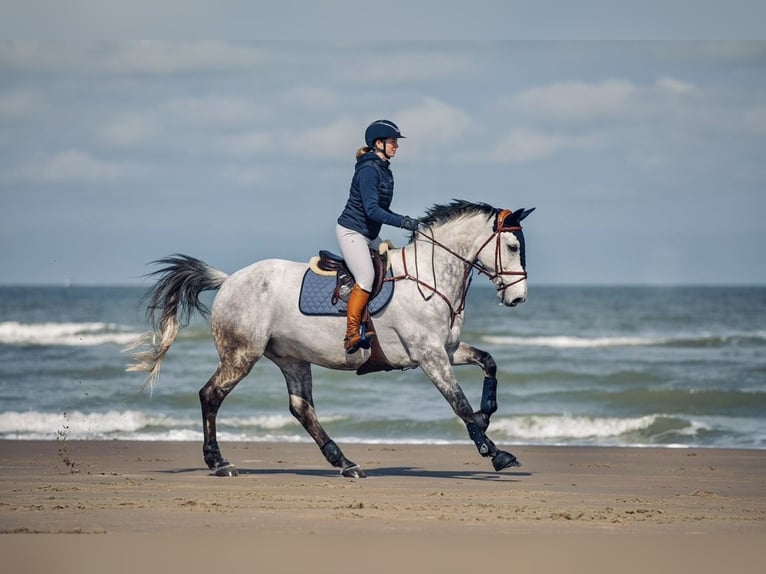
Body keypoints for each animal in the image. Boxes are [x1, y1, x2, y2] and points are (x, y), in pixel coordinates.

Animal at [127, 199, 534, 477]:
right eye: (513, 248)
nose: (518, 298)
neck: (428, 278)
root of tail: (229, 281)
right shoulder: (429, 356)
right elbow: (458, 403)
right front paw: (494, 451)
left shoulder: (446, 350)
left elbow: (489, 362)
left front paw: (487, 413)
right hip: (241, 355)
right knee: (210, 395)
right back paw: (219, 461)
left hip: (292, 358)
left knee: (301, 409)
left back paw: (345, 462)